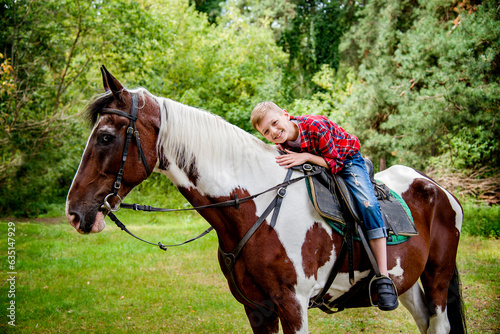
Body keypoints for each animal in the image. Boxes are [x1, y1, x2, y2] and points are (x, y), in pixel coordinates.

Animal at [64, 66, 466, 332]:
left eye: (105, 137)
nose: (74, 214)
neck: (255, 208)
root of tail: (439, 189)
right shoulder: (257, 309)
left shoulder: (293, 306)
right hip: (408, 285)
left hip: (438, 276)